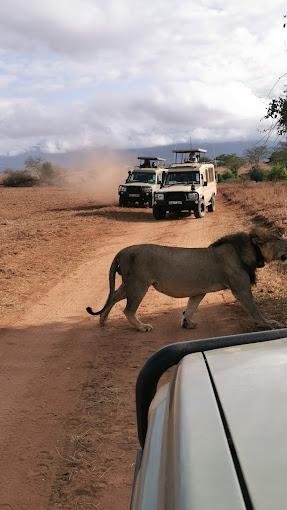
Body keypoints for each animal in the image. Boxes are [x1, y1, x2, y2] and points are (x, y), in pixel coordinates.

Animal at [86, 229, 287, 332]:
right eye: (278, 238)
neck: (250, 251)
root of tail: (121, 252)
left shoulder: (199, 291)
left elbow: (190, 307)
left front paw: (186, 323)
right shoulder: (241, 288)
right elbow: (254, 309)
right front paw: (267, 323)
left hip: (128, 284)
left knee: (112, 297)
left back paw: (102, 320)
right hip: (138, 284)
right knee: (128, 309)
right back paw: (142, 327)